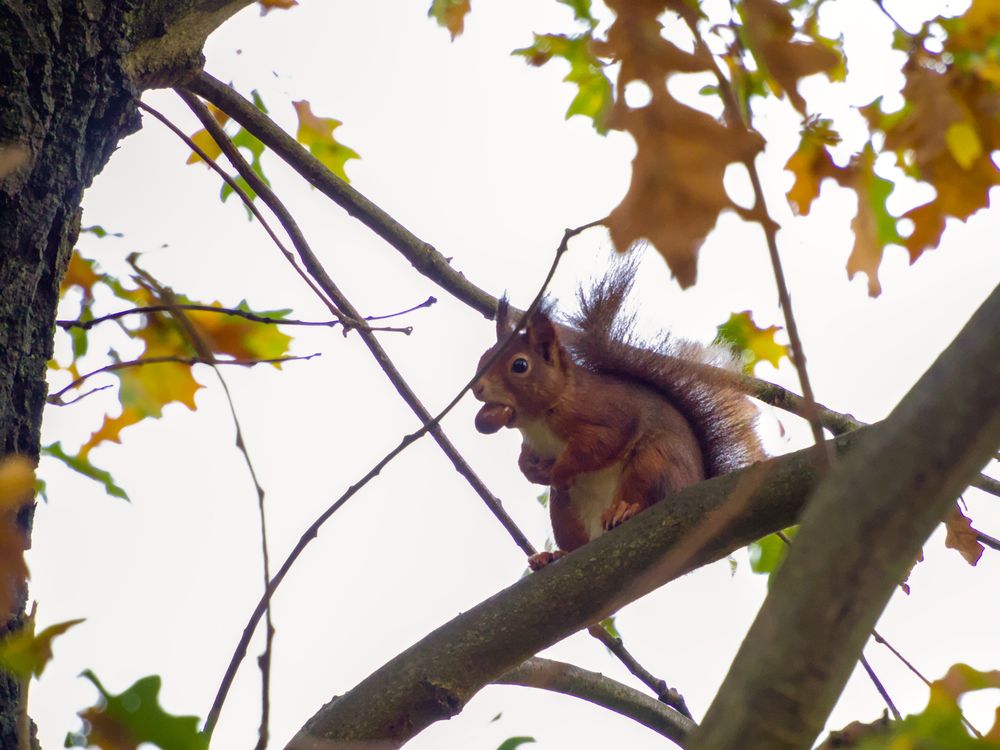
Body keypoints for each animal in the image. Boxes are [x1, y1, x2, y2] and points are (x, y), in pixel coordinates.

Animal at [472, 262, 763, 570]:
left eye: (519, 365)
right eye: (484, 357)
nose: (476, 387)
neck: (538, 420)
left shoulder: (609, 413)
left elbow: (598, 444)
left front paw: (560, 470)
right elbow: (526, 458)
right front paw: (529, 470)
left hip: (655, 464)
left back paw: (626, 510)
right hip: (564, 512)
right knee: (575, 541)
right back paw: (553, 555)